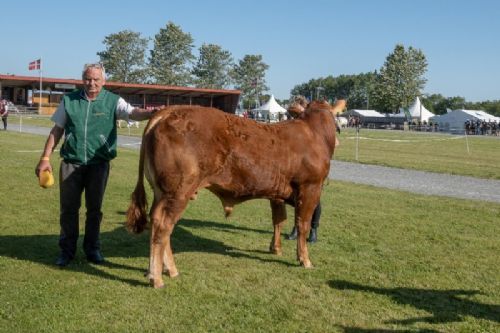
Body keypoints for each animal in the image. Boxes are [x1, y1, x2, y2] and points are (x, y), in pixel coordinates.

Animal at [127, 97, 346, 286]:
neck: (314, 134)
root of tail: (168, 111)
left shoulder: (277, 193)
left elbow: (279, 220)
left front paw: (275, 249)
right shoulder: (311, 189)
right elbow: (302, 225)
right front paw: (304, 260)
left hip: (161, 192)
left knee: (157, 222)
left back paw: (167, 270)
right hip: (178, 191)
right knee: (163, 226)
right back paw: (157, 278)